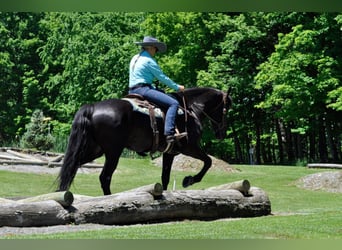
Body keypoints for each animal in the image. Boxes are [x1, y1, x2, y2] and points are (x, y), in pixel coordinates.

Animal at [56, 87, 232, 194]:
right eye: (226, 109)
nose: (222, 133)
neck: (190, 109)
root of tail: (92, 107)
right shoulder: (189, 148)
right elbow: (208, 161)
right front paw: (189, 180)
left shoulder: (169, 153)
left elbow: (165, 177)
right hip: (113, 152)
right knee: (104, 177)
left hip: (95, 150)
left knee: (71, 166)